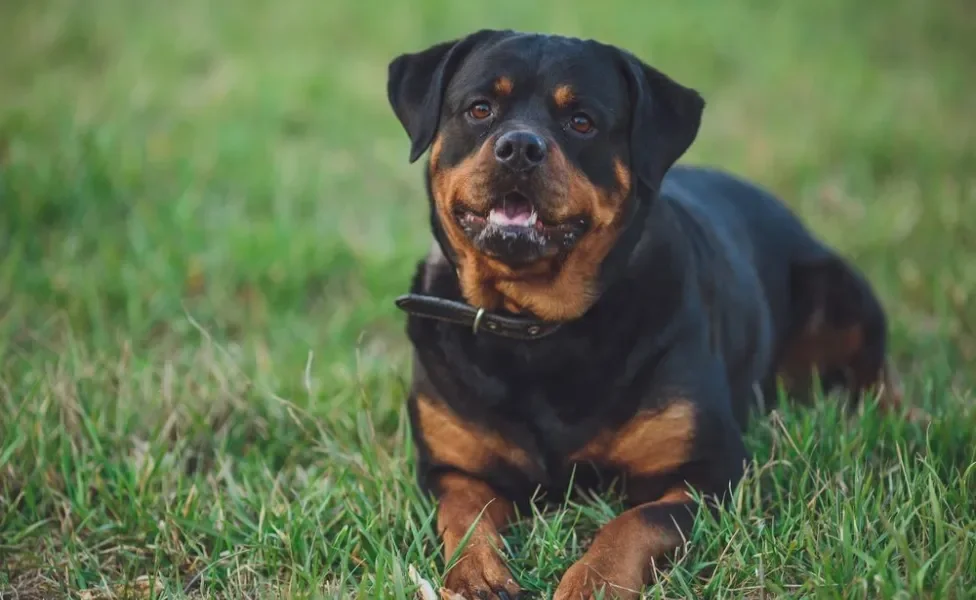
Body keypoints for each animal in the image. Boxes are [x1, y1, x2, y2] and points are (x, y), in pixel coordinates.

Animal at [382, 29, 908, 600]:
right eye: (480, 109)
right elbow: (464, 514)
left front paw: (592, 582)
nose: (519, 146)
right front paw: (477, 576)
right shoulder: (451, 467)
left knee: (877, 370)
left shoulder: (710, 470)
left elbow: (634, 522)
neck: (533, 328)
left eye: (581, 121)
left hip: (842, 291)